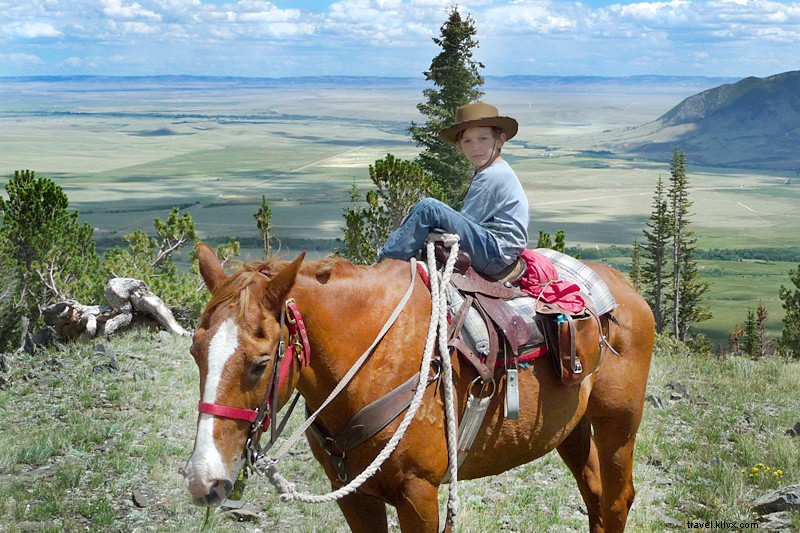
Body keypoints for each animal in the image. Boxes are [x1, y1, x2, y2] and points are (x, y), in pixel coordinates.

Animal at [184, 242, 654, 532]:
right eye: (195, 350)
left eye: (261, 363)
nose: (204, 482)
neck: (371, 362)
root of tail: (625, 288)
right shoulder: (354, 497)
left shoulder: (419, 495)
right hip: (571, 428)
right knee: (594, 495)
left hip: (619, 423)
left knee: (617, 499)